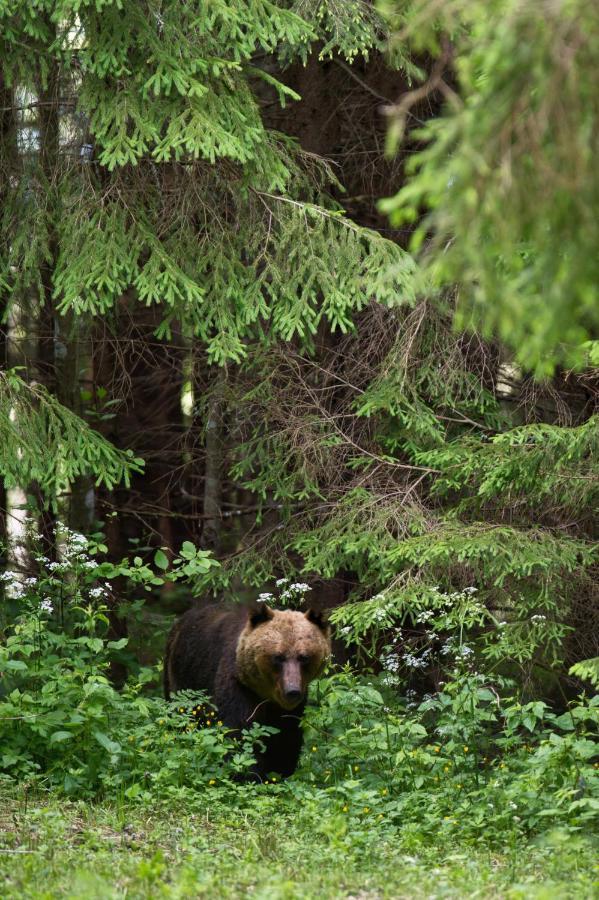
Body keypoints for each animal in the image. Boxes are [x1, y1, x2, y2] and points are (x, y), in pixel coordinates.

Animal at [165, 600, 332, 776]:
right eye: (278, 656)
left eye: (304, 657)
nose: (292, 691)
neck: (266, 694)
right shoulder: (239, 687)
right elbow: (240, 735)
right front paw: (248, 773)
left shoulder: (289, 708)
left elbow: (285, 739)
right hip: (181, 679)